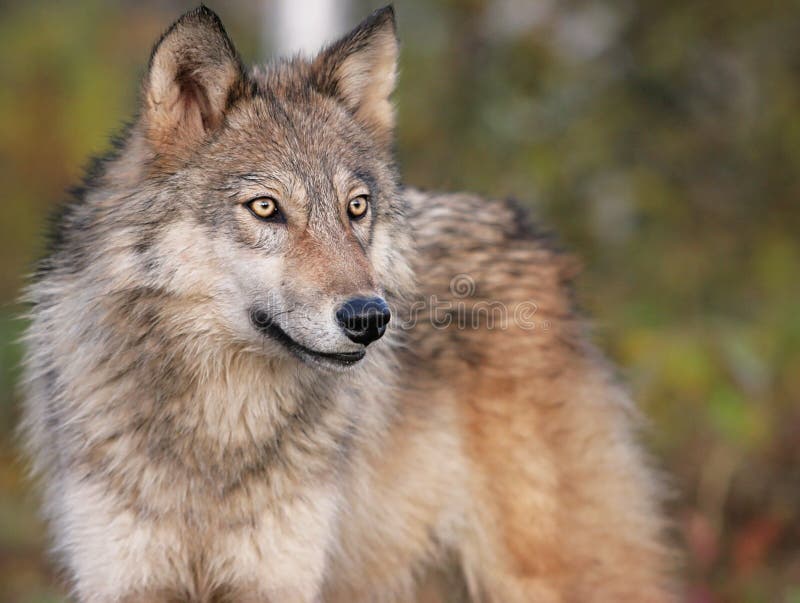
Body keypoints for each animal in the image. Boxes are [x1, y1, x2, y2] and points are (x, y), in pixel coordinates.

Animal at [20, 5, 676, 603]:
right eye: (265, 208)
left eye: (355, 208)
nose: (370, 318)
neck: (219, 433)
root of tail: (529, 233)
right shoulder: (128, 580)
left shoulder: (277, 581)